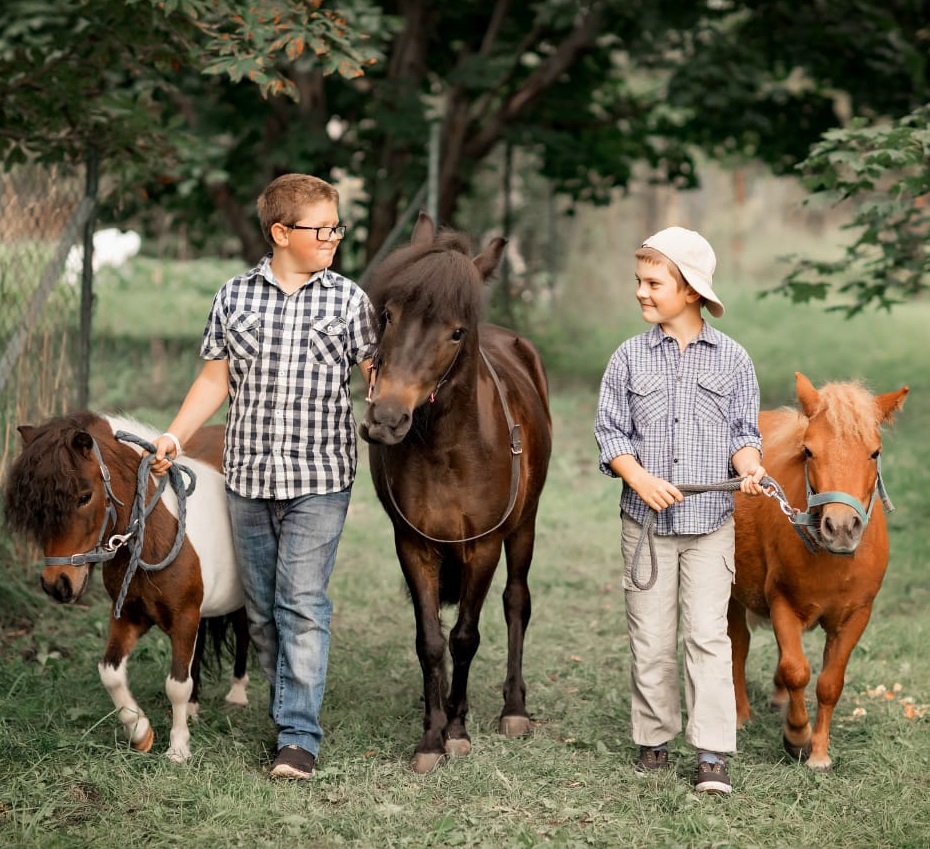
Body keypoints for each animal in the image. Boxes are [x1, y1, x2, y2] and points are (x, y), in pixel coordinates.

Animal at [2, 410, 250, 760]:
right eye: (39, 508)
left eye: (84, 497)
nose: (57, 585)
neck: (155, 537)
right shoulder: (130, 616)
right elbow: (110, 673)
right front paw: (140, 731)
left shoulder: (184, 617)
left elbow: (176, 684)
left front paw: (178, 749)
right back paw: (193, 708)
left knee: (243, 632)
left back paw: (238, 694)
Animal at [358, 214, 552, 776]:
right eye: (389, 314)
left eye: (456, 331)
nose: (386, 420)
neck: (448, 447)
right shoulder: (413, 545)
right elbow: (430, 640)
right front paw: (432, 734)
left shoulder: (483, 545)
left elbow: (466, 636)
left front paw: (459, 731)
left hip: (524, 526)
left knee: (516, 602)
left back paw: (513, 709)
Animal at [724, 372, 908, 768]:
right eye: (808, 451)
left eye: (875, 452)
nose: (840, 527)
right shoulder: (782, 603)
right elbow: (796, 670)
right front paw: (796, 736)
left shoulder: (856, 615)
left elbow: (829, 683)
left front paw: (819, 753)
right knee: (737, 646)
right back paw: (740, 715)